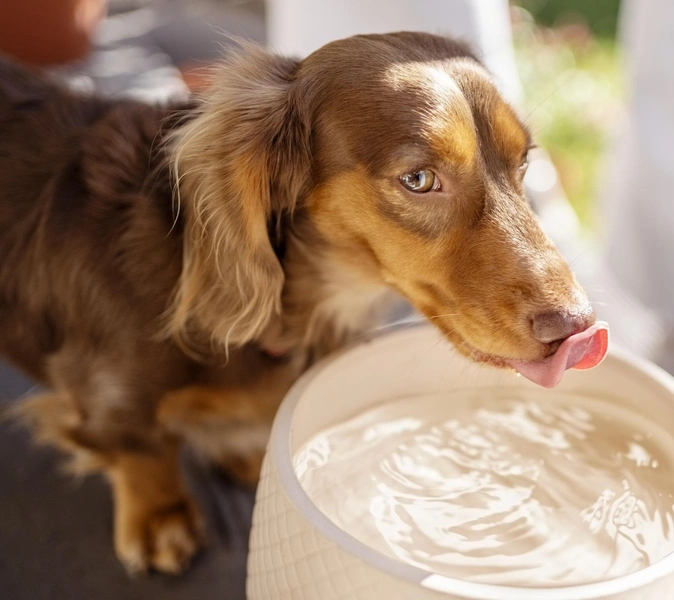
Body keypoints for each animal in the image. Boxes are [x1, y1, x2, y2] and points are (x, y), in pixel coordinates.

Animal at [1, 32, 600, 576]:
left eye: (524, 162)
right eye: (418, 179)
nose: (576, 327)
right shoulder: (111, 397)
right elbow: (140, 449)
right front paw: (160, 516)